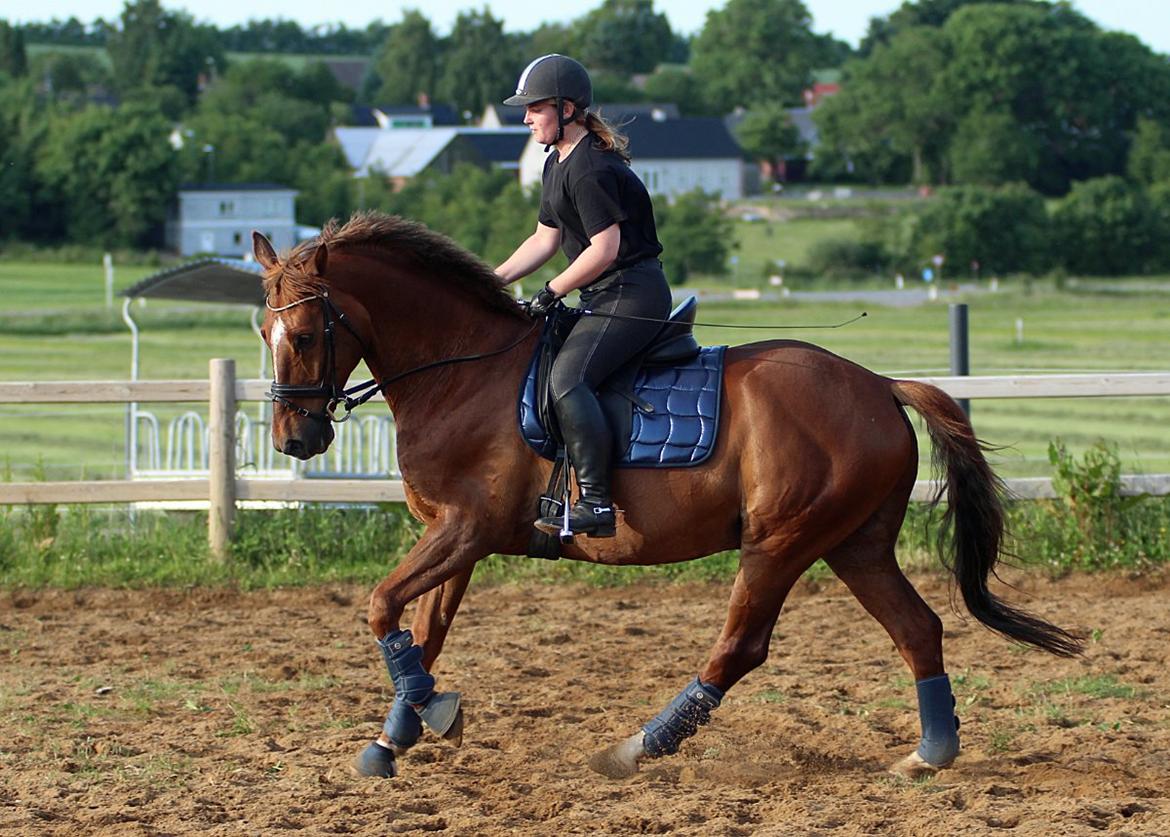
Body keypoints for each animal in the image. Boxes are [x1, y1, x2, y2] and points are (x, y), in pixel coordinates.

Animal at [251, 213, 1081, 781]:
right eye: (262, 331)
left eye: (306, 331)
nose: (295, 439)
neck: (460, 370)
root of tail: (880, 384)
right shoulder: (455, 539)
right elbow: (421, 629)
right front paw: (392, 738)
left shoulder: (465, 529)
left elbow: (380, 605)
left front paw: (433, 714)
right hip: (855, 542)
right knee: (918, 628)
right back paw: (931, 752)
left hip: (780, 541)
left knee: (741, 646)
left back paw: (634, 747)